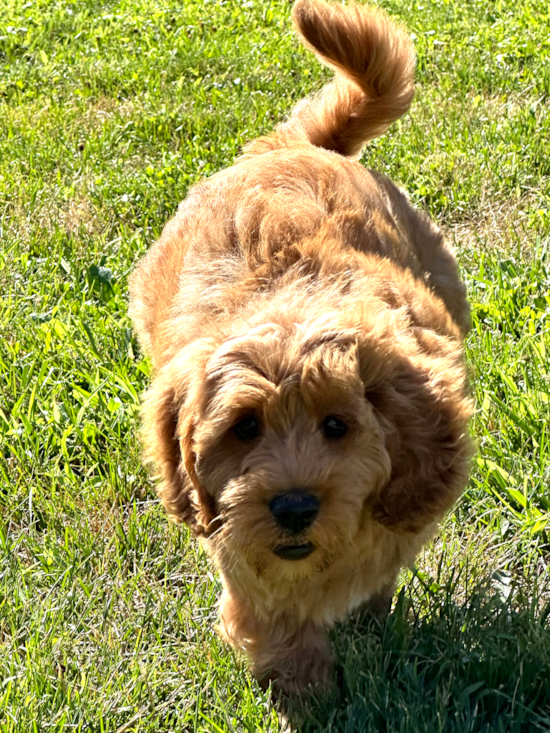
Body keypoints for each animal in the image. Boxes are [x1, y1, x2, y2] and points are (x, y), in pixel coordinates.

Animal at [129, 0, 474, 692]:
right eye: (244, 429)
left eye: (337, 426)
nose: (292, 507)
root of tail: (300, 147)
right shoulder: (238, 546)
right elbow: (279, 622)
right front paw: (310, 692)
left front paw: (368, 626)